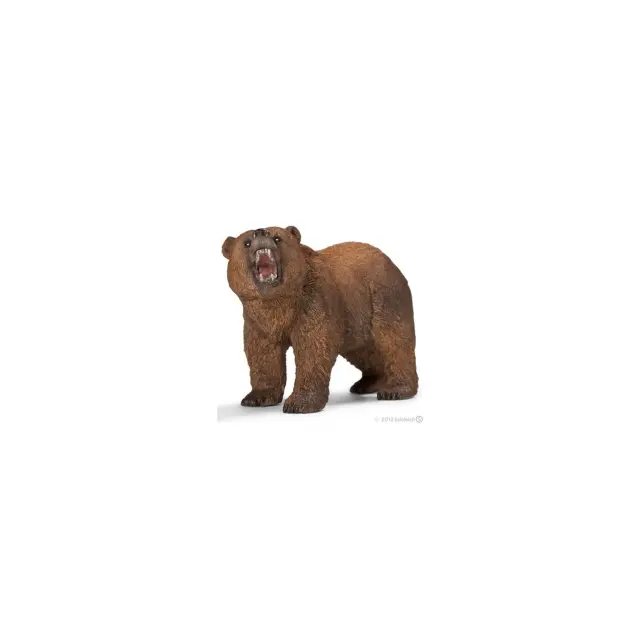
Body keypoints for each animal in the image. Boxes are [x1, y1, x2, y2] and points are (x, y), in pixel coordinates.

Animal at [221, 226, 418, 413]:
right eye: (246, 242)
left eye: (278, 238)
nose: (260, 232)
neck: (279, 304)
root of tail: (391, 262)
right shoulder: (258, 321)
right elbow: (263, 353)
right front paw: (256, 397)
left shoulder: (313, 303)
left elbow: (312, 350)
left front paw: (299, 403)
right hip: (357, 322)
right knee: (364, 352)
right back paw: (367, 383)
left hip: (383, 299)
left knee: (393, 342)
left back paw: (396, 390)